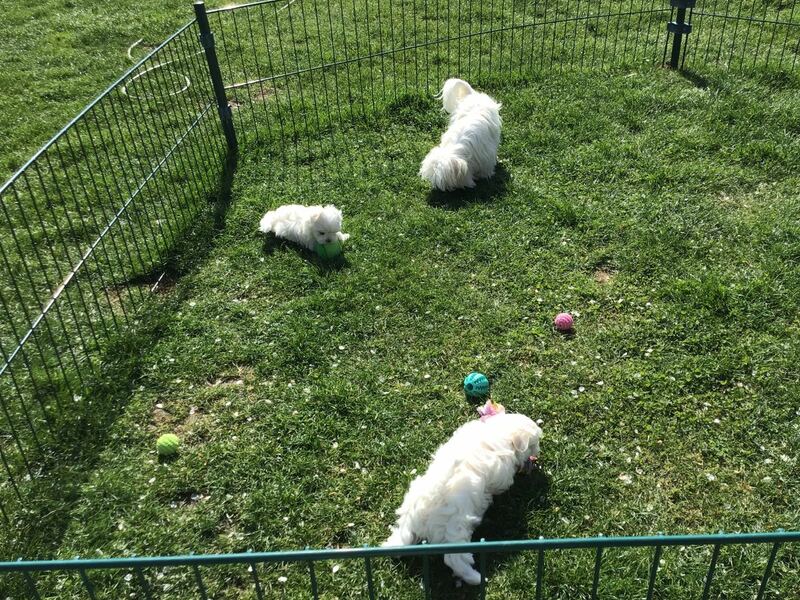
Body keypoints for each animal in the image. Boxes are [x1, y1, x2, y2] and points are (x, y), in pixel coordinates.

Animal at [383, 413, 542, 585]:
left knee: (400, 538)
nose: (538, 450)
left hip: (407, 521)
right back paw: (476, 578)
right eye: (534, 443)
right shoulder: (502, 470)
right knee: (454, 559)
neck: (500, 432)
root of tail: (427, 503)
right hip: (456, 529)